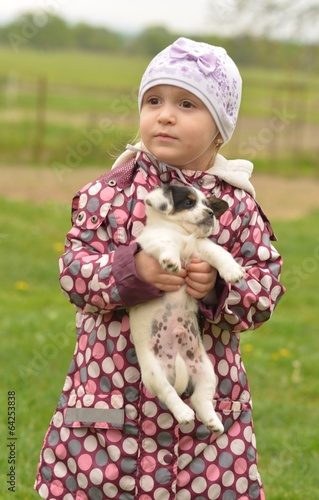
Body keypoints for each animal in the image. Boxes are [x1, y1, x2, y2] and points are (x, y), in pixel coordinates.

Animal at [130, 186, 245, 432]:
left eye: (207, 204)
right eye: (189, 202)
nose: (210, 213)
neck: (183, 234)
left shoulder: (203, 248)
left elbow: (220, 253)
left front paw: (232, 271)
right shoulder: (154, 242)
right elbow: (167, 244)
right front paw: (171, 261)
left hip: (206, 370)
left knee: (200, 398)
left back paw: (213, 422)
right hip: (154, 373)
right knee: (169, 393)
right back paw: (183, 413)